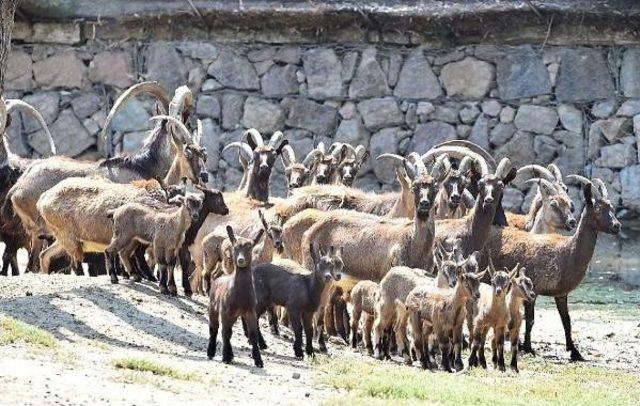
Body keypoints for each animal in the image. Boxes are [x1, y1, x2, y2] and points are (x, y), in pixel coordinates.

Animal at [206, 225, 264, 368]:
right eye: (235, 247)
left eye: (250, 247)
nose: (240, 260)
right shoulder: (225, 310)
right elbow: (225, 332)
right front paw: (225, 357)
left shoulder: (250, 311)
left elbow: (252, 334)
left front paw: (259, 361)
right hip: (213, 307)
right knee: (214, 328)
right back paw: (211, 352)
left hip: (234, 315)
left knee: (229, 330)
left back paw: (231, 354)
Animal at [484, 179, 620, 360]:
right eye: (598, 209)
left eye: (611, 207)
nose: (617, 226)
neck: (568, 253)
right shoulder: (533, 289)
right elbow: (530, 319)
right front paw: (528, 347)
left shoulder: (561, 294)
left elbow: (566, 320)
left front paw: (574, 351)